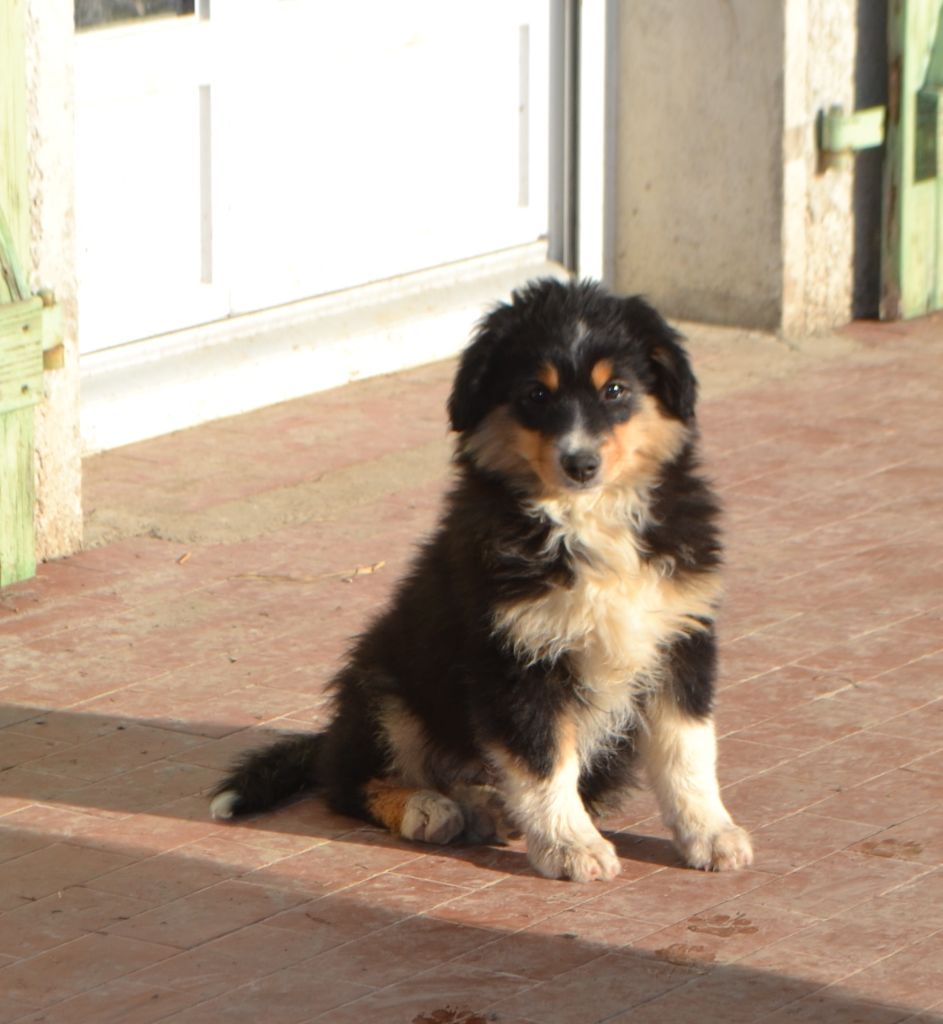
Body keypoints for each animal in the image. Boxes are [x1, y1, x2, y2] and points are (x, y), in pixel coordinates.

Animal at [210, 278, 753, 881]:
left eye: (615, 390)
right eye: (535, 395)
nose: (580, 464)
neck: (585, 519)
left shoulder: (681, 637)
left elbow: (688, 752)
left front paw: (711, 834)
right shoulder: (516, 657)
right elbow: (544, 762)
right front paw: (571, 847)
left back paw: (487, 803)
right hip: (387, 687)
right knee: (350, 780)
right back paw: (433, 808)